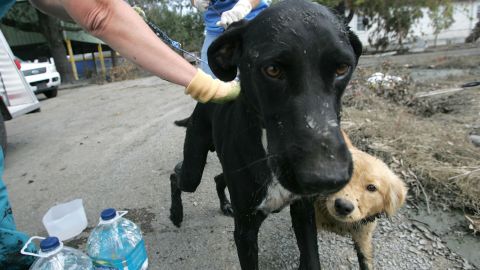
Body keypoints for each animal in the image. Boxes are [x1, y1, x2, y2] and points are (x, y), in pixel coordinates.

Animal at [171, 1, 362, 268]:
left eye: (343, 68)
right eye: (272, 70)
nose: (327, 178)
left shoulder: (303, 212)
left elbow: (311, 257)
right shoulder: (245, 232)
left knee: (218, 177)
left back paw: (224, 204)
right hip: (193, 168)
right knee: (177, 175)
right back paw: (175, 214)